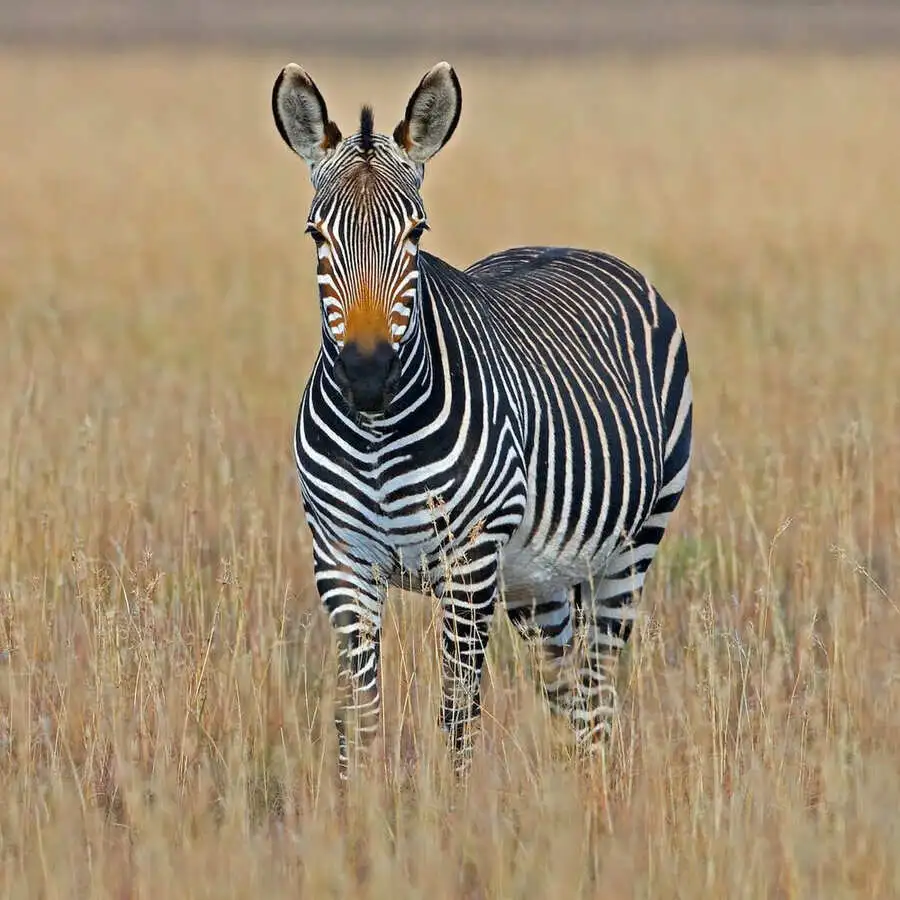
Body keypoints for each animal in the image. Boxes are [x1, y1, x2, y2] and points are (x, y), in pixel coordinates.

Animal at [271, 61, 693, 776]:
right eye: (316, 235)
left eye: (416, 233)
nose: (367, 375)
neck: (377, 436)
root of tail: (572, 245)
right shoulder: (341, 561)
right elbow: (361, 719)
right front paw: (353, 806)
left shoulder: (469, 562)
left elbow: (456, 717)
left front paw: (451, 807)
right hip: (536, 579)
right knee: (565, 690)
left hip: (632, 545)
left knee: (598, 690)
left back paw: (596, 791)